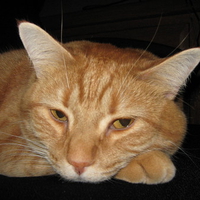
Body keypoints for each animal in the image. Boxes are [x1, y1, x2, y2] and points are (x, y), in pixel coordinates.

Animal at [0, 22, 200, 184]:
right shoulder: (10, 150)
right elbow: (40, 160)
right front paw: (146, 162)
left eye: (123, 123)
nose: (78, 163)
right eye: (59, 115)